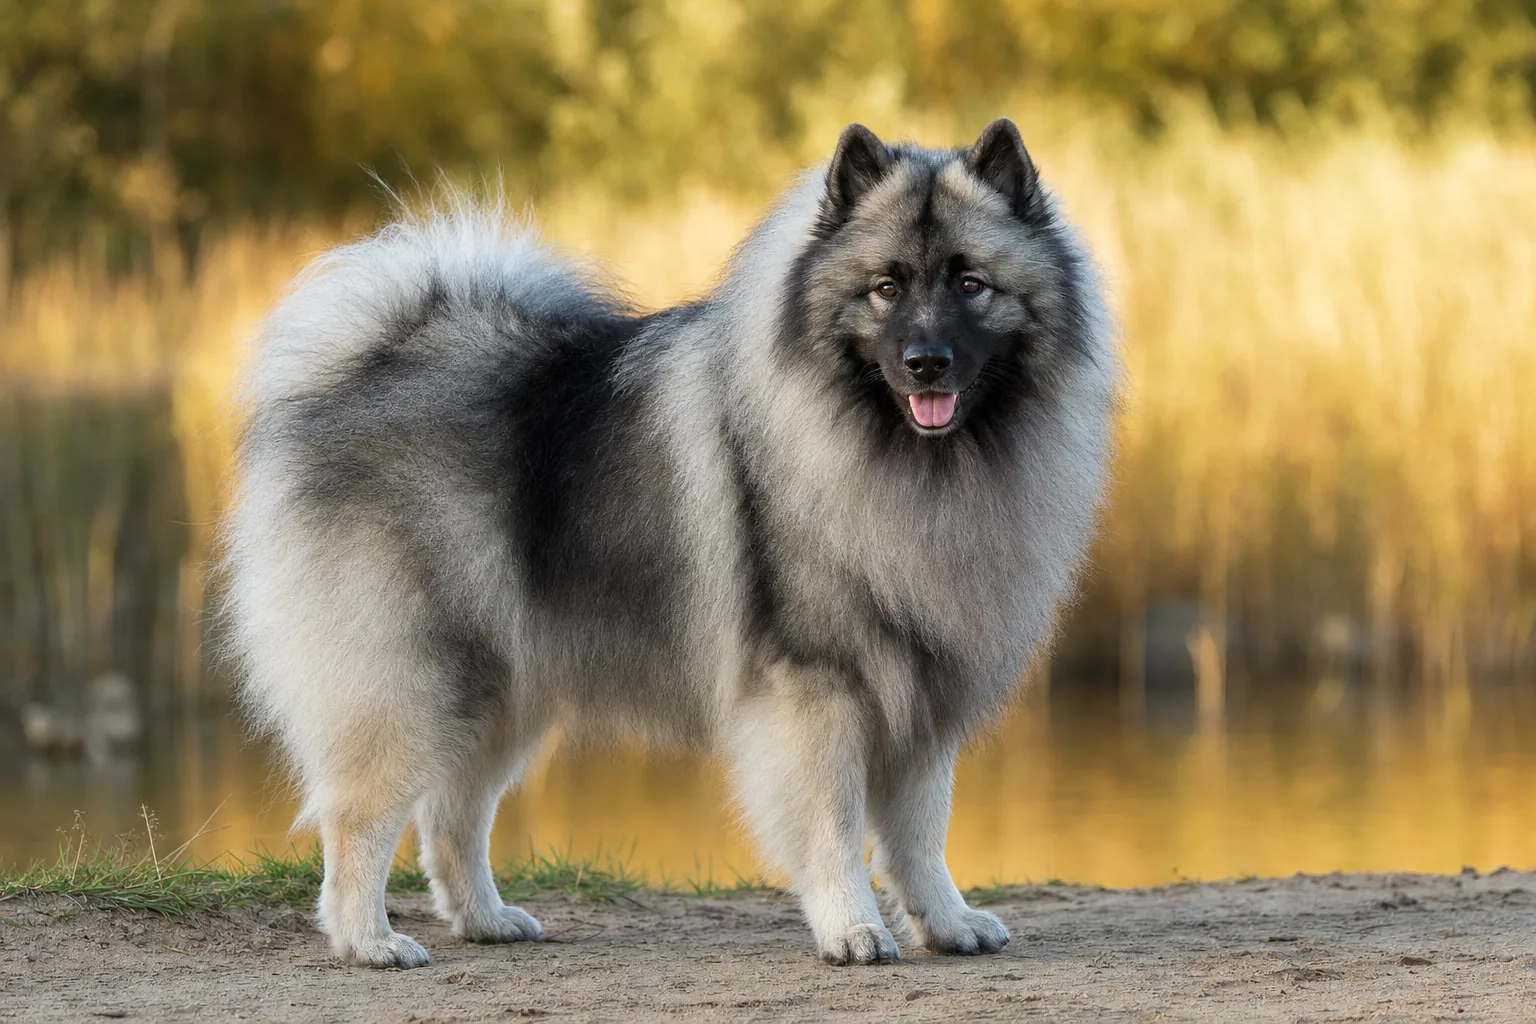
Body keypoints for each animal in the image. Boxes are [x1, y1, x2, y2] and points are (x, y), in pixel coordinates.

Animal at [223, 118, 1116, 968]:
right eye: (886, 288)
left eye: (971, 284)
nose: (926, 361)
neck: (913, 462)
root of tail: (374, 359)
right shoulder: (819, 689)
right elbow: (833, 827)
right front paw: (853, 930)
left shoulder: (924, 683)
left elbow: (922, 833)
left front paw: (948, 922)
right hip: (412, 681)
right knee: (361, 818)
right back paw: (369, 941)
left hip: (497, 687)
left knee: (454, 815)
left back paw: (486, 920)